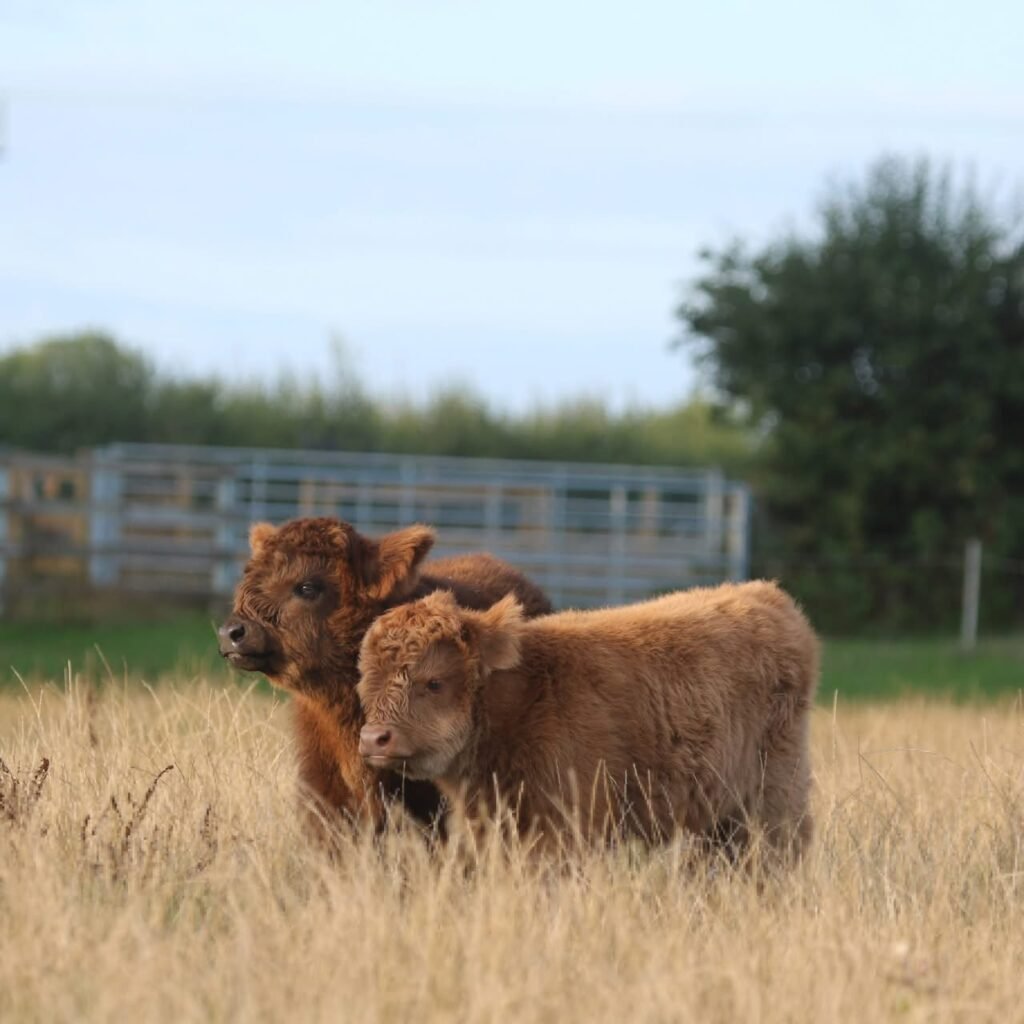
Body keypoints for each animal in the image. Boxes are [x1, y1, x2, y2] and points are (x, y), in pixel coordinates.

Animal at [356, 581, 819, 860]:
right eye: (366, 680)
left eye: (434, 682)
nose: (375, 738)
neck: (524, 696)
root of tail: (766, 596)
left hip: (773, 798)